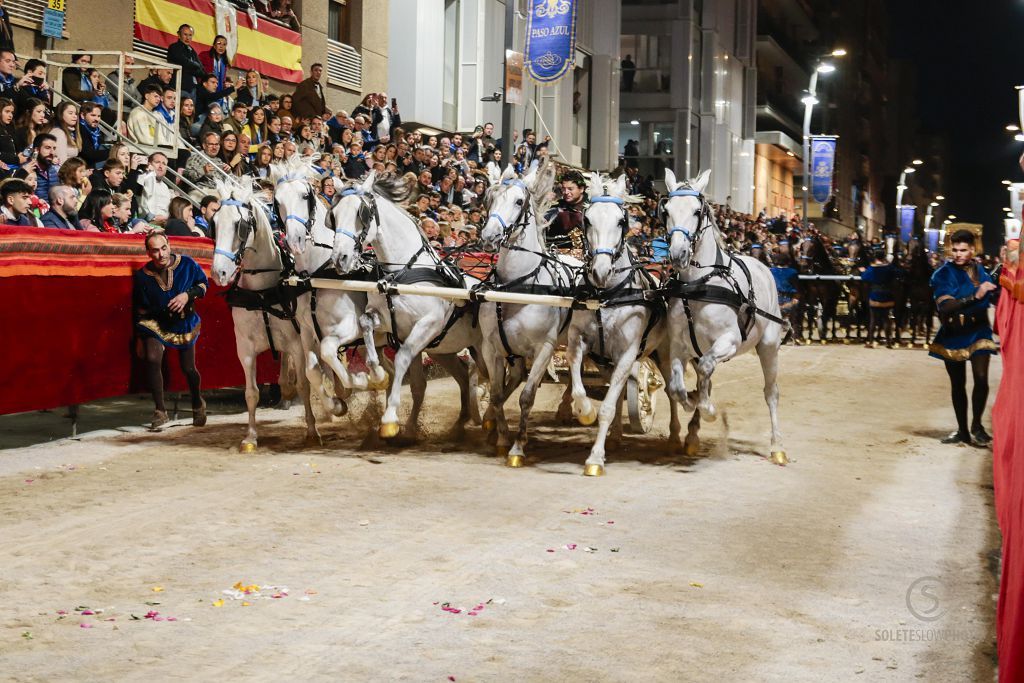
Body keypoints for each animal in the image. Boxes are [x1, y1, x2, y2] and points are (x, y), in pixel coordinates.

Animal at [214, 179, 325, 450]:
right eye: (214, 222)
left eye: (240, 225)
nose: (219, 272)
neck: (262, 293)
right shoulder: (244, 348)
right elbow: (251, 392)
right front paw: (250, 437)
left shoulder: (297, 343)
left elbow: (304, 384)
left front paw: (311, 430)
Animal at [331, 169, 483, 438]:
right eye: (334, 214)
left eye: (362, 213)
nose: (340, 258)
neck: (402, 273)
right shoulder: (386, 321)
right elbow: (366, 323)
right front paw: (377, 374)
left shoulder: (426, 325)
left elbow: (402, 360)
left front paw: (390, 419)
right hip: (443, 349)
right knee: (464, 376)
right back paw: (459, 424)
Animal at [477, 158, 581, 466]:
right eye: (488, 198)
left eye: (519, 201)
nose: (489, 237)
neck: (516, 287)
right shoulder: (492, 348)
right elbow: (497, 394)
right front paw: (500, 437)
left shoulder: (544, 349)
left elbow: (526, 396)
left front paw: (517, 447)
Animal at [569, 174, 679, 479]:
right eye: (587, 219)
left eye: (621, 221)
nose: (600, 271)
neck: (606, 295)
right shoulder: (578, 341)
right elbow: (581, 390)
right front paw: (584, 412)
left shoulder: (628, 353)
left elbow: (607, 406)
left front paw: (595, 458)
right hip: (607, 361)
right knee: (615, 392)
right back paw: (616, 437)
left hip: (663, 354)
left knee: (670, 391)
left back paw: (676, 439)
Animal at [659, 167, 786, 464]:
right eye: (666, 210)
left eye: (697, 211)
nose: (678, 253)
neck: (698, 286)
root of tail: (762, 265)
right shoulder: (679, 346)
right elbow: (677, 388)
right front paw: (694, 402)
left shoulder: (729, 341)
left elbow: (706, 371)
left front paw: (708, 409)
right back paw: (693, 434)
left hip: (768, 347)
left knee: (771, 393)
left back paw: (777, 447)